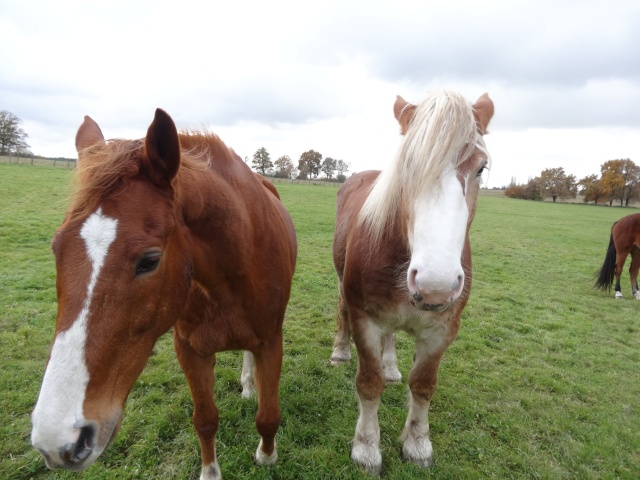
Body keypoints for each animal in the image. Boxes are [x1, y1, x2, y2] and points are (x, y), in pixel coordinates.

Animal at [31, 109, 296, 480]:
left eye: (150, 260)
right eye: (56, 248)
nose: (56, 440)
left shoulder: (271, 342)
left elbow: (268, 415)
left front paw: (266, 456)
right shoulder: (190, 350)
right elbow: (205, 420)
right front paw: (210, 472)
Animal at [330, 90, 496, 472]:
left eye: (481, 168)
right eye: (407, 164)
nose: (437, 283)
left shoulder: (442, 330)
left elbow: (423, 384)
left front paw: (418, 444)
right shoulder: (364, 319)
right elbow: (369, 382)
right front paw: (366, 448)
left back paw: (392, 367)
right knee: (342, 311)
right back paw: (341, 352)